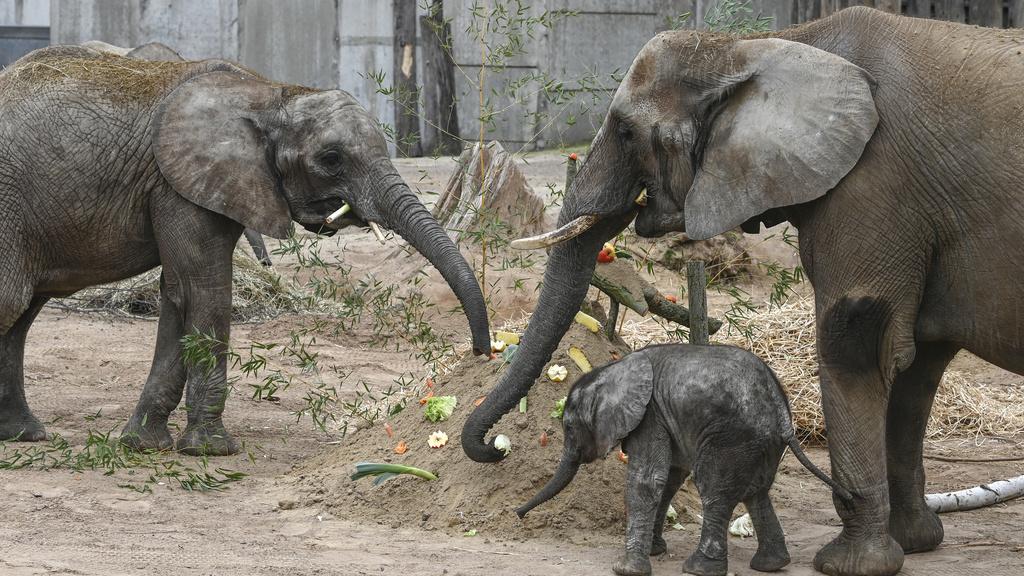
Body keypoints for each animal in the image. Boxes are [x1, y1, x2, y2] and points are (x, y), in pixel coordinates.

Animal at [516, 344, 852, 576]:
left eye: (569, 428)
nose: (518, 514)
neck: (613, 370)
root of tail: (782, 411)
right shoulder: (664, 420)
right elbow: (669, 479)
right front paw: (654, 552)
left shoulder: (649, 416)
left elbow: (647, 481)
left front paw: (625, 569)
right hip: (762, 443)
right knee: (756, 493)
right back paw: (771, 565)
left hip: (731, 437)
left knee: (716, 491)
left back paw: (699, 569)